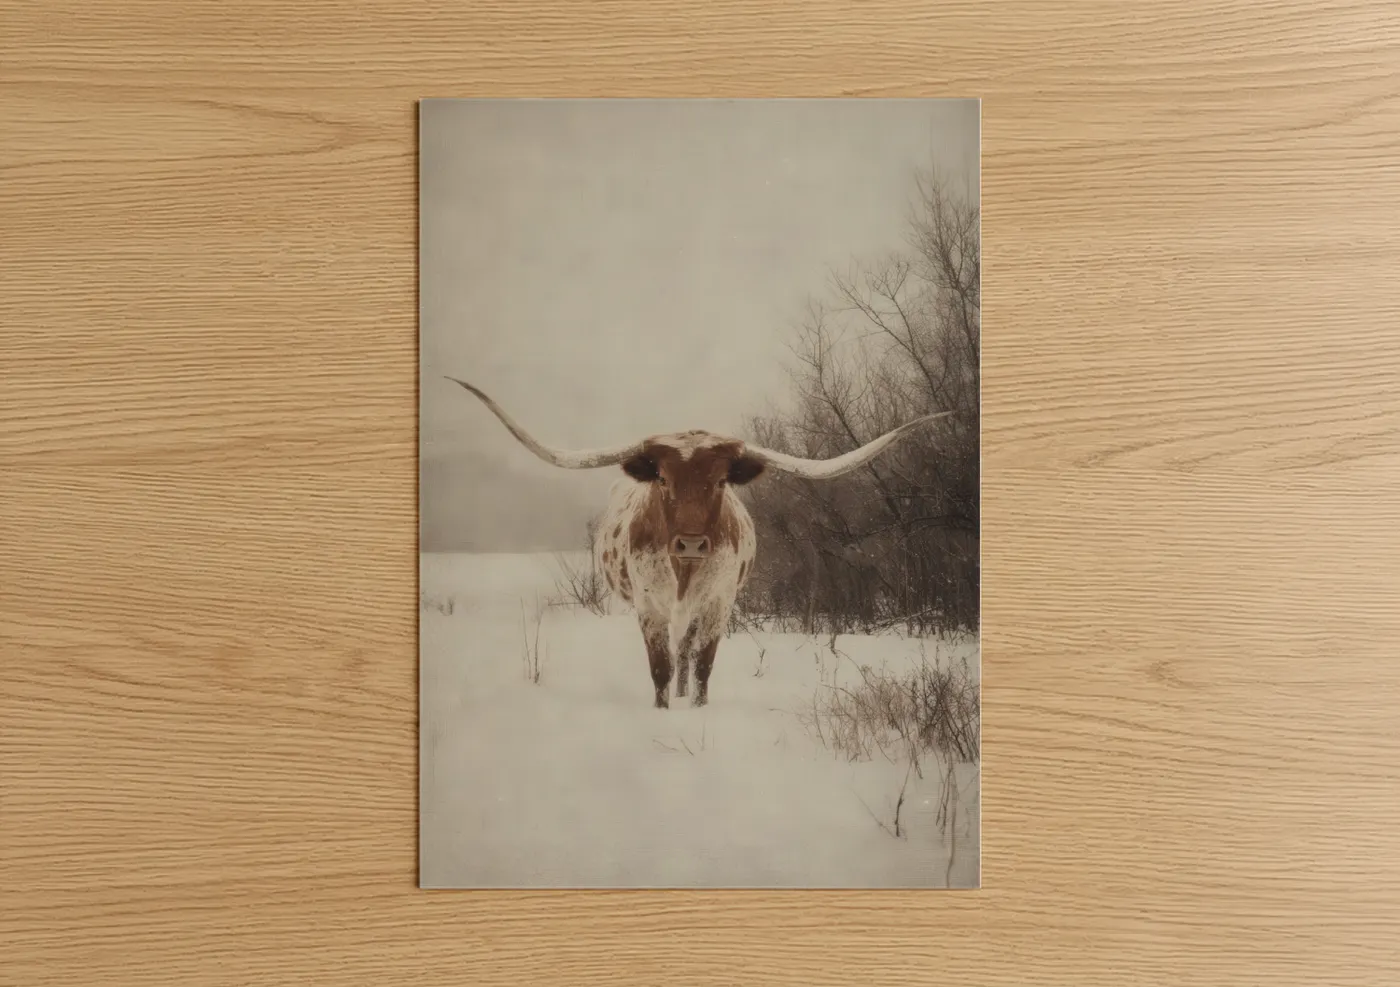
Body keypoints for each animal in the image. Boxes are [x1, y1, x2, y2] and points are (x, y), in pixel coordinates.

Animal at [445, 376, 949, 709]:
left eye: (721, 481)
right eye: (663, 479)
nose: (689, 545)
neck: (683, 571)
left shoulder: (719, 603)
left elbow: (703, 662)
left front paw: (697, 708)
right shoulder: (649, 604)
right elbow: (659, 666)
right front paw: (663, 711)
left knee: (687, 652)